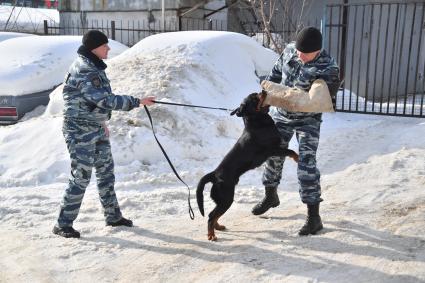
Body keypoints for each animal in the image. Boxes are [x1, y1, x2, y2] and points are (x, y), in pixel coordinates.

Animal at [196, 92, 298, 242]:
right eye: (254, 98)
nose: (263, 91)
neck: (258, 122)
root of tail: (214, 174)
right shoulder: (273, 149)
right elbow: (290, 151)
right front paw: (297, 157)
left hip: (221, 200)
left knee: (214, 215)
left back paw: (218, 227)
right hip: (226, 198)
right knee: (211, 216)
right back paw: (211, 235)